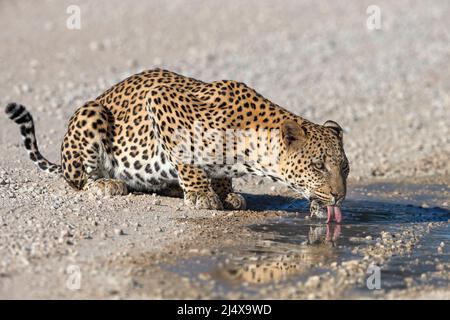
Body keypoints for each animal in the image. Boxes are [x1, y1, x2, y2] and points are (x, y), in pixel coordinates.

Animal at [4, 69, 348, 221]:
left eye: (344, 168)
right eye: (318, 165)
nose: (339, 196)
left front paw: (225, 192)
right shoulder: (161, 100)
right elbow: (186, 156)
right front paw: (202, 195)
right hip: (91, 113)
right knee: (76, 180)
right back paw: (104, 183)